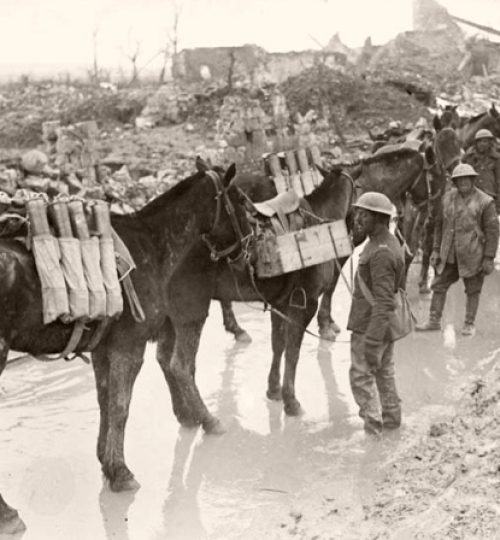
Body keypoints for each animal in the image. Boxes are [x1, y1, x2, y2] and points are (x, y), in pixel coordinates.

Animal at [0, 165, 250, 520]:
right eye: (239, 200)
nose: (248, 245)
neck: (152, 248)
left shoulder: (104, 349)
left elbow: (106, 400)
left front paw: (106, 460)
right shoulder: (129, 347)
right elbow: (121, 407)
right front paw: (121, 473)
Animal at [154, 166, 354, 422]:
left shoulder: (280, 303)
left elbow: (278, 345)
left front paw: (274, 390)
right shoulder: (305, 303)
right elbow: (293, 352)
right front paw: (291, 401)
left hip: (169, 319)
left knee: (163, 358)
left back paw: (185, 414)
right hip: (190, 316)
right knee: (180, 365)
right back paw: (205, 419)